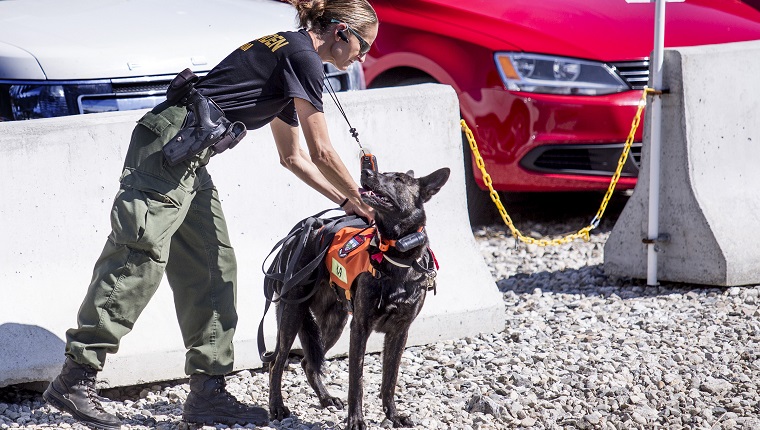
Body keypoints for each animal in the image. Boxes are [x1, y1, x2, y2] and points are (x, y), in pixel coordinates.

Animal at [266, 168, 448, 430]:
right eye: (384, 172)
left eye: (398, 179)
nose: (367, 171)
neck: (395, 255)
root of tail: (299, 234)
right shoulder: (360, 328)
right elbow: (357, 381)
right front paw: (356, 420)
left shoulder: (399, 332)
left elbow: (390, 380)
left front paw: (393, 415)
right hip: (293, 315)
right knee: (277, 362)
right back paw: (277, 407)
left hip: (334, 324)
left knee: (308, 363)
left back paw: (326, 398)